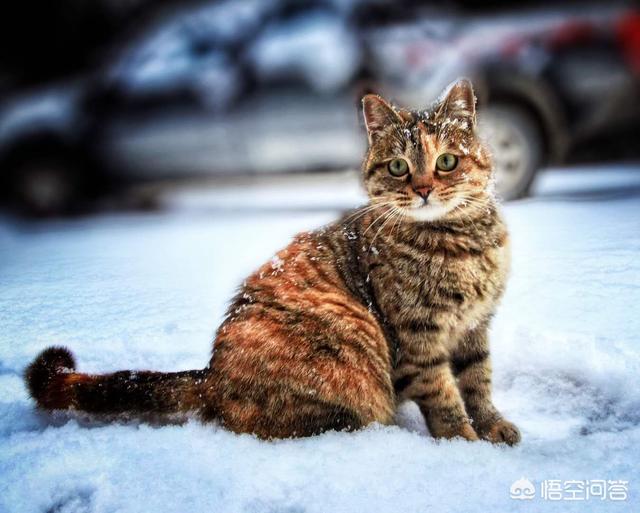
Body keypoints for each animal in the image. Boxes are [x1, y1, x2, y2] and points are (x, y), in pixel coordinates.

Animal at [27, 79, 524, 444]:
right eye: (398, 167)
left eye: (447, 162)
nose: (422, 189)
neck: (461, 244)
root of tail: (212, 375)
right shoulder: (418, 339)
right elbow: (444, 396)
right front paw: (463, 440)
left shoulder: (475, 328)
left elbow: (477, 383)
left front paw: (492, 426)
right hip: (350, 349)